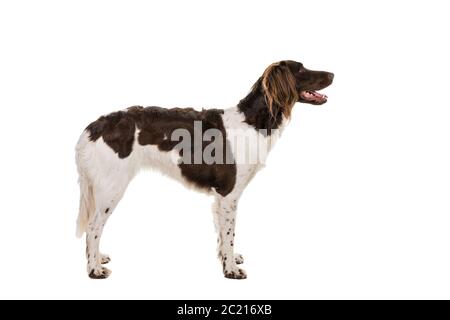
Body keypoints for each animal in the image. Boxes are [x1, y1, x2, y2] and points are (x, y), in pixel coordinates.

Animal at [74, 60, 334, 280]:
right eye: (301, 69)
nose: (332, 74)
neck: (254, 122)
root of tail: (92, 127)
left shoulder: (221, 197)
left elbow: (222, 235)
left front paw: (227, 259)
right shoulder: (229, 194)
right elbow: (229, 234)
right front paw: (231, 270)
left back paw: (97, 258)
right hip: (112, 187)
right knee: (93, 226)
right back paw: (94, 269)